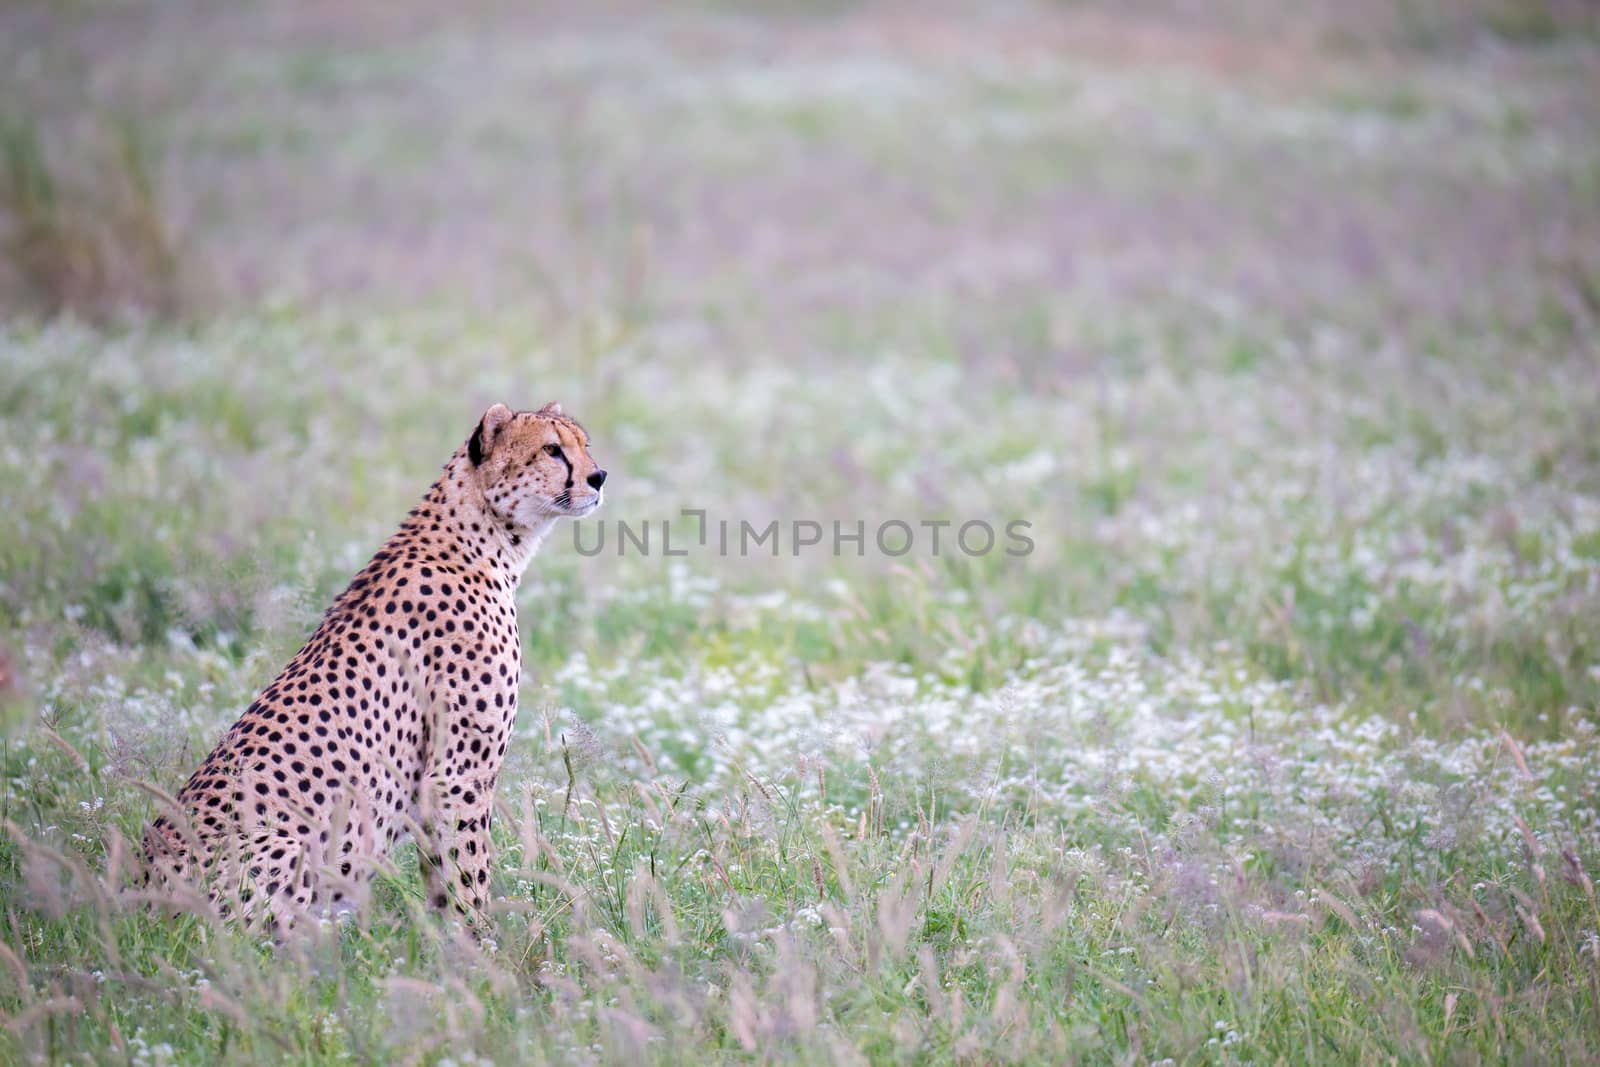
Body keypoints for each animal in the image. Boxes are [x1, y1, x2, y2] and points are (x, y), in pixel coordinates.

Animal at [142, 404, 604, 927]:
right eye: (552, 449)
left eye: (584, 445)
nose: (599, 476)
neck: (482, 541)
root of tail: (133, 890)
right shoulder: (457, 773)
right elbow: (470, 872)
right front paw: (487, 942)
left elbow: (442, 877)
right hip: (288, 853)